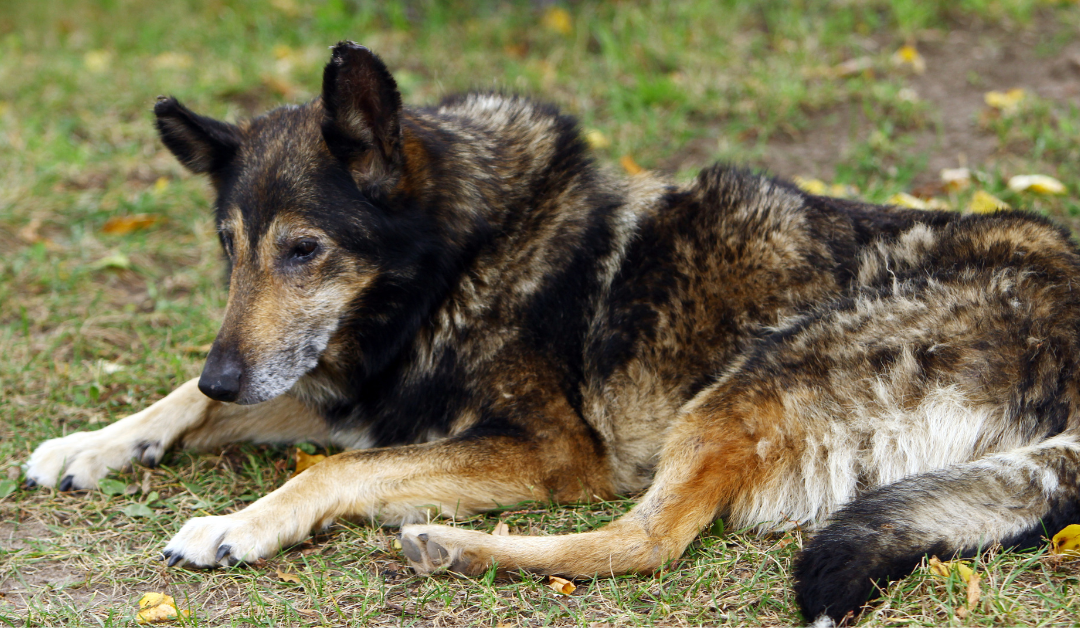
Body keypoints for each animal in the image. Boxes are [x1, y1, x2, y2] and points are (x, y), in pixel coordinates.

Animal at [23, 41, 1080, 622]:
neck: (459, 255)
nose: (228, 376)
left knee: (646, 539)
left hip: (745, 384)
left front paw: (235, 524)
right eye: (228, 248)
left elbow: (334, 473)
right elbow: (186, 399)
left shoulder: (541, 450)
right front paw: (93, 444)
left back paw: (456, 547)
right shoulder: (343, 389)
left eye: (304, 250)